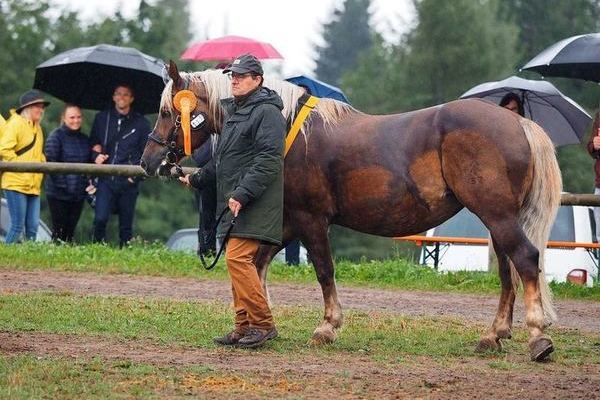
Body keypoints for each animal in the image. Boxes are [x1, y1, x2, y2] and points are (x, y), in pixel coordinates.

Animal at [141, 61, 564, 360]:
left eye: (165, 112)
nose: (150, 161)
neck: (287, 128)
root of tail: (518, 122)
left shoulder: (311, 221)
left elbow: (323, 271)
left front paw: (327, 327)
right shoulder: (287, 223)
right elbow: (255, 268)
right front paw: (255, 327)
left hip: (498, 216)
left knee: (526, 260)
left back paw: (538, 336)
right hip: (496, 219)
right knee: (509, 271)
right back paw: (494, 335)